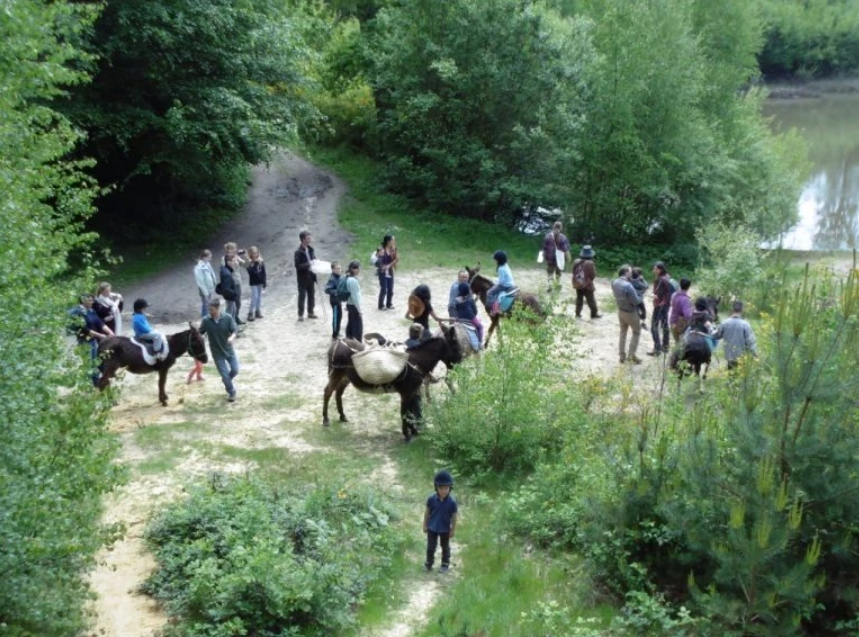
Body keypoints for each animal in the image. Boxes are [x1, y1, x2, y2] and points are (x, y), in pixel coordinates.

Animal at [320, 326, 460, 440]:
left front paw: (414, 431)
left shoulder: (414, 391)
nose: (458, 364)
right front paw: (407, 435)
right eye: (455, 345)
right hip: (336, 374)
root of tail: (338, 342)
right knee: (328, 392)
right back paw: (326, 419)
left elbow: (412, 412)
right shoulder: (406, 393)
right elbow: (405, 412)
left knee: (338, 392)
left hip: (345, 377)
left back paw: (342, 416)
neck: (416, 361)